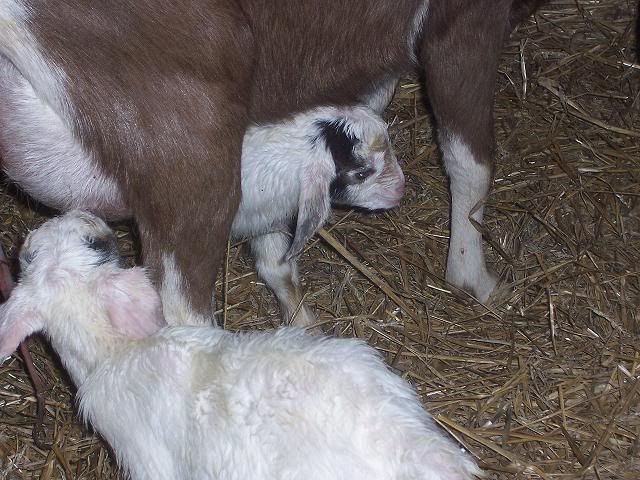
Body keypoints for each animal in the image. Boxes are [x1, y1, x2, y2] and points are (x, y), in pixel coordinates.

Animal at [0, 0, 546, 319]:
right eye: (360, 171)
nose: (397, 190)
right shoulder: (465, 18)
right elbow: (470, 161)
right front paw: (475, 277)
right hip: (190, 134)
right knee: (180, 307)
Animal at [0, 211, 481, 480]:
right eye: (29, 256)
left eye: (92, 242)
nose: (88, 215)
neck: (113, 350)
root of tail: (406, 444)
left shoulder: (149, 463)